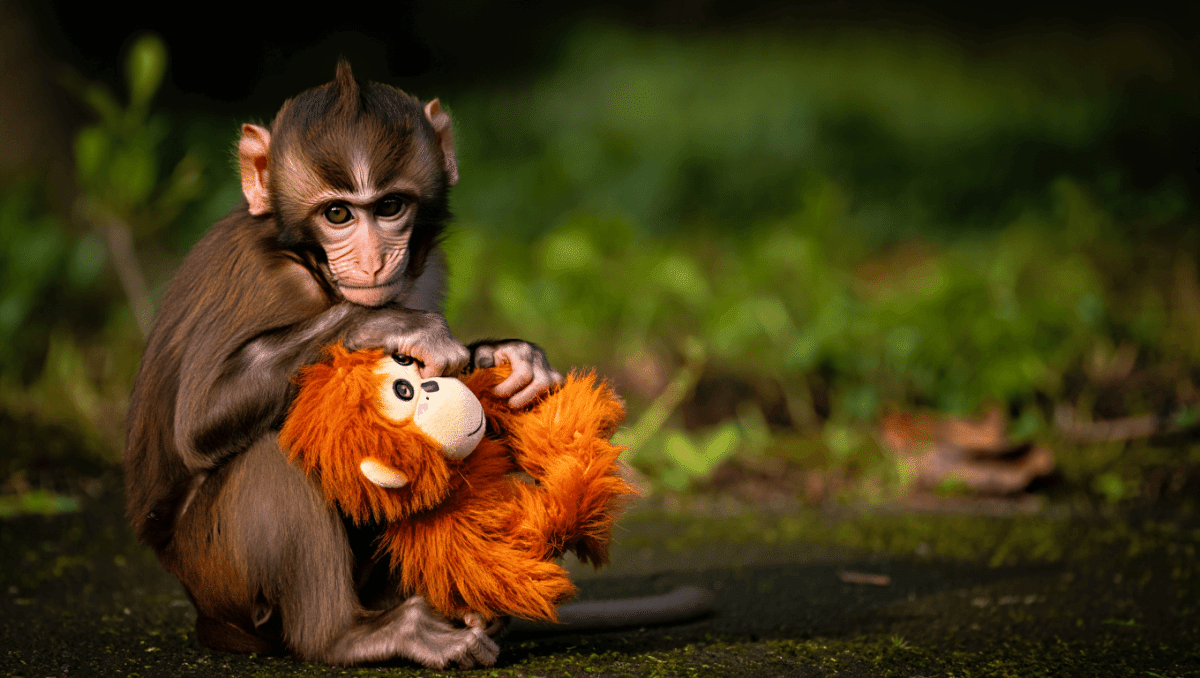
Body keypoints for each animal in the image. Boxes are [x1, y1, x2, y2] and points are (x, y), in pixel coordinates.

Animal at [123, 61, 562, 669]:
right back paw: (349, 635)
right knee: (271, 449)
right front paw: (390, 325)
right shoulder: (263, 274)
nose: (375, 261)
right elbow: (200, 420)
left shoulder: (429, 266)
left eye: (389, 207)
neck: (308, 261)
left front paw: (507, 356)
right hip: (214, 574)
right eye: (337, 213)